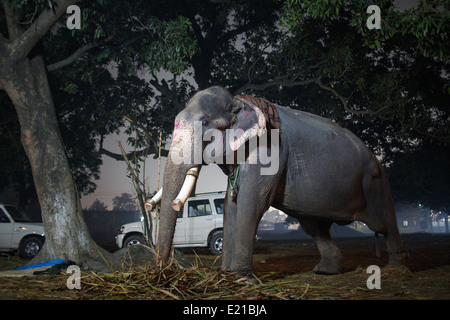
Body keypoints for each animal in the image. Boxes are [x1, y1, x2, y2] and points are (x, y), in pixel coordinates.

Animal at [156, 85, 410, 276]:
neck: (241, 101)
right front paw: (225, 275)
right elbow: (231, 205)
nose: (161, 269)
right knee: (314, 227)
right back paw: (325, 270)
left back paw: (396, 268)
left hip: (375, 182)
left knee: (383, 222)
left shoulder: (270, 152)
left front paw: (240, 278)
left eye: (205, 123)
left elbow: (251, 202)